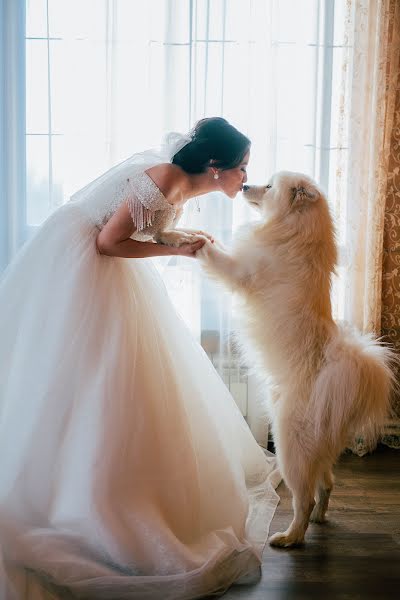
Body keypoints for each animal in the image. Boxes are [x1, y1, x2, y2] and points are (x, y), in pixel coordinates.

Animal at [197, 172, 394, 548]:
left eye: (269, 187)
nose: (244, 186)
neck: (292, 229)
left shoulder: (240, 270)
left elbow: (213, 254)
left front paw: (192, 240)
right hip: (319, 450)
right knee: (327, 484)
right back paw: (319, 518)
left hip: (290, 450)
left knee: (303, 498)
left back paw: (290, 536)